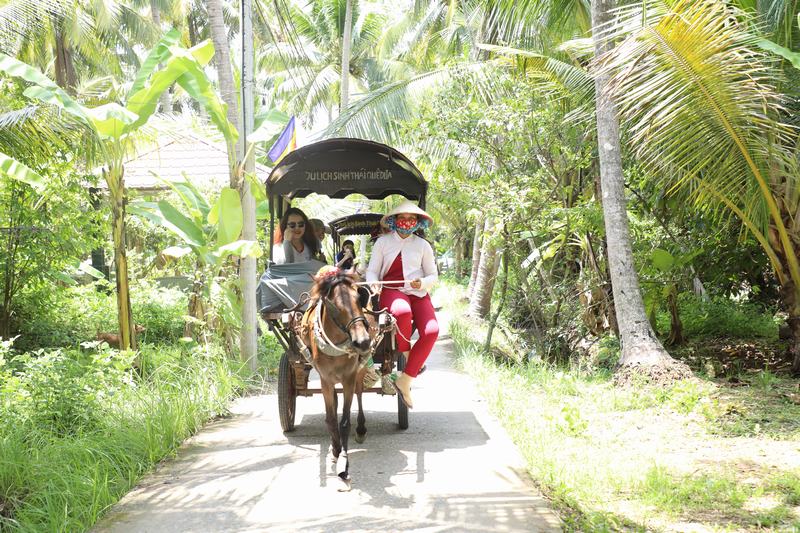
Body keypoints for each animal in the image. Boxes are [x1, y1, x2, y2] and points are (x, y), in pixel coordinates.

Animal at [298, 267, 376, 484]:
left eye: (359, 297)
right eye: (335, 306)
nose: (362, 341)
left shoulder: (349, 377)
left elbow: (345, 422)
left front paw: (344, 460)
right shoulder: (325, 379)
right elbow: (331, 419)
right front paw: (335, 450)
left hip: (360, 369)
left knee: (359, 393)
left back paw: (361, 429)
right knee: (334, 398)